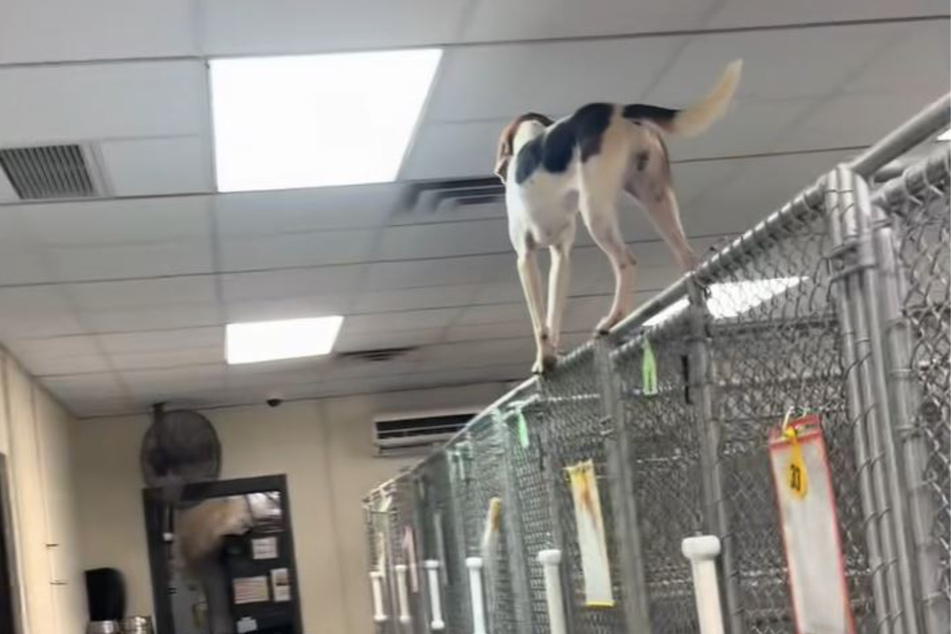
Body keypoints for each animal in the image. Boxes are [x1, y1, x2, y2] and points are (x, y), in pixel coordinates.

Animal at [498, 60, 744, 370]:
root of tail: (620, 109)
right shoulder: (561, 256)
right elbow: (552, 315)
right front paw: (552, 353)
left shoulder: (525, 256)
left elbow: (539, 323)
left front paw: (544, 359)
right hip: (656, 199)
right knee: (686, 257)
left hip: (596, 212)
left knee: (627, 262)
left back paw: (612, 319)